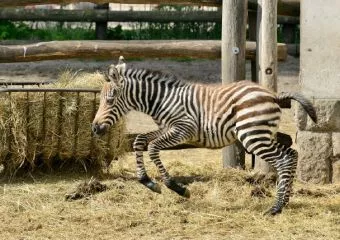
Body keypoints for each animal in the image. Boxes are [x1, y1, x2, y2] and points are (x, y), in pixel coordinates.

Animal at [92, 56, 316, 216]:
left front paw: (177, 187)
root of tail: (272, 95)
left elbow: (153, 147)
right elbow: (140, 141)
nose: (94, 128)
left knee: (283, 159)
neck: (161, 101)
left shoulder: (184, 129)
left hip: (252, 136)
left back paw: (276, 207)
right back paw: (284, 202)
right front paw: (148, 182)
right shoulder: (166, 129)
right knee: (291, 154)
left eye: (109, 100)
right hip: (263, 135)